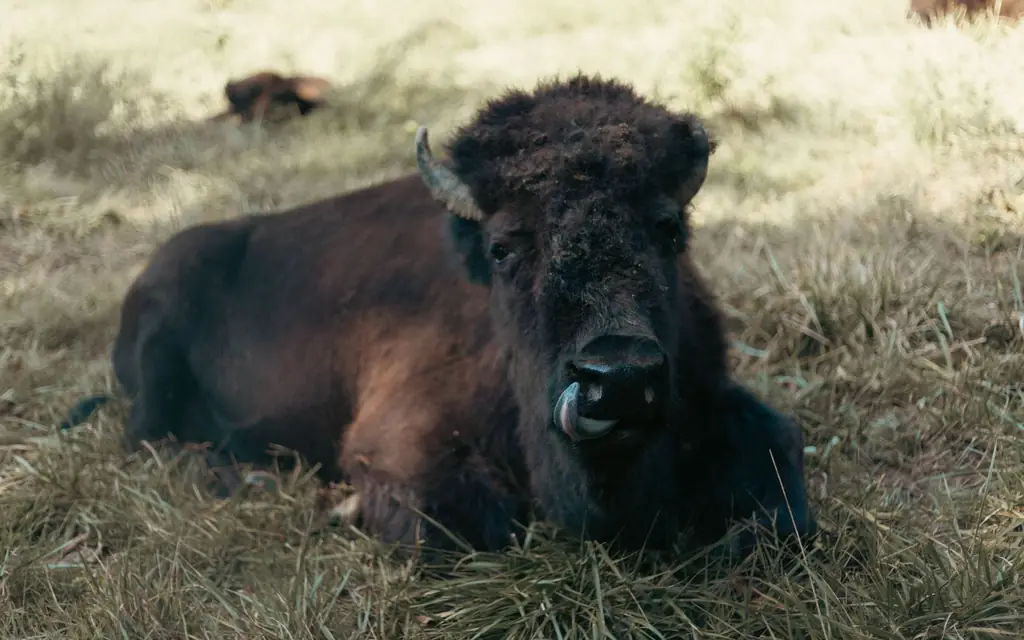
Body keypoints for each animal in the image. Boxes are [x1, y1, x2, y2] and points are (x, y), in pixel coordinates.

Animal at [85, 73, 816, 557]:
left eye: (669, 229)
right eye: (503, 247)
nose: (619, 376)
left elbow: (778, 486)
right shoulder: (401, 446)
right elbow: (462, 525)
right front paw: (346, 508)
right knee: (150, 441)